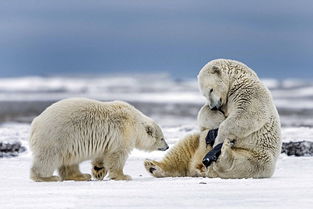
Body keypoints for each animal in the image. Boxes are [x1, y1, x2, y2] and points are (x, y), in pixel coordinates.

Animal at [29, 98, 168, 181]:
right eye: (162, 138)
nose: (167, 147)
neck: (134, 122)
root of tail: (35, 123)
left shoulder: (109, 140)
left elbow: (103, 154)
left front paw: (98, 171)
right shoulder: (123, 133)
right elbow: (117, 155)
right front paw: (123, 176)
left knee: (69, 161)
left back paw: (82, 176)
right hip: (56, 137)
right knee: (47, 158)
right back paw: (47, 177)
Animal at [145, 58, 282, 178]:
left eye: (210, 90)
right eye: (204, 94)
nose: (214, 106)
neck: (236, 80)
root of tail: (200, 168)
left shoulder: (248, 91)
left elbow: (247, 115)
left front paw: (219, 137)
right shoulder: (224, 103)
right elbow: (204, 113)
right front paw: (216, 123)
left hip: (259, 155)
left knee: (244, 164)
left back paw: (222, 151)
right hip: (197, 145)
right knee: (185, 147)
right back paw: (153, 166)